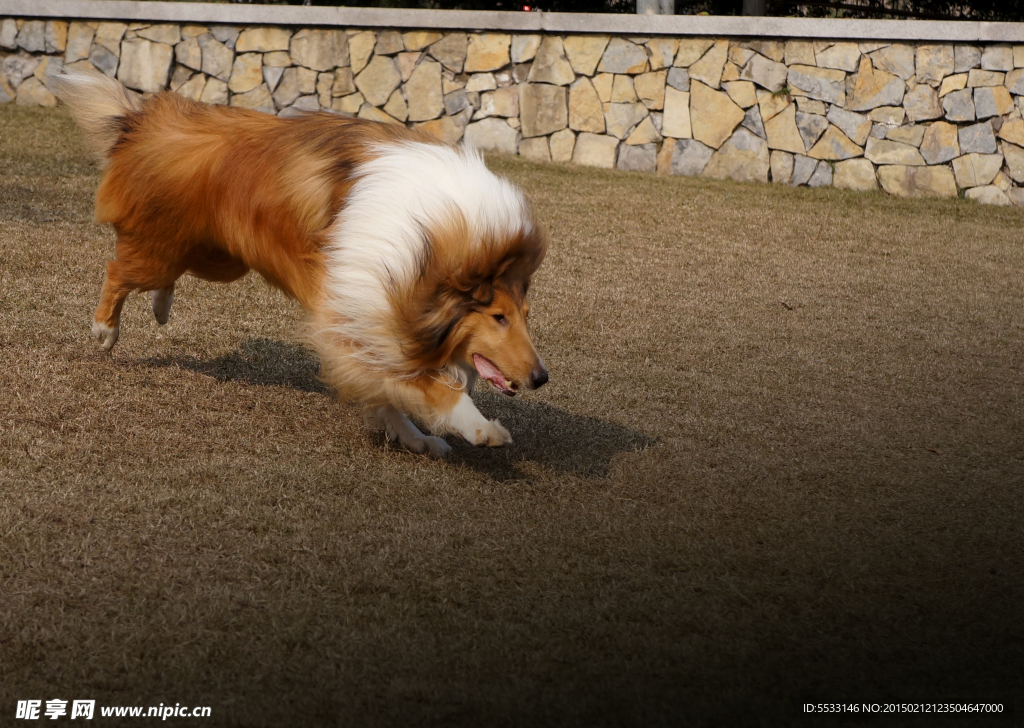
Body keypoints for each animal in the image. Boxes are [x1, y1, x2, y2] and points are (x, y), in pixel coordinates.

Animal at [54, 67, 552, 454]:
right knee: (118, 272)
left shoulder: (366, 313)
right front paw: (480, 428)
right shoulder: (357, 309)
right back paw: (105, 330)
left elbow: (388, 388)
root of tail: (145, 119)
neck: (427, 244)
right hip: (166, 249)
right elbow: (423, 386)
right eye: (497, 317)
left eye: (526, 315)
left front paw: (414, 437)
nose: (541, 378)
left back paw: (160, 306)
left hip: (220, 258)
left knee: (166, 276)